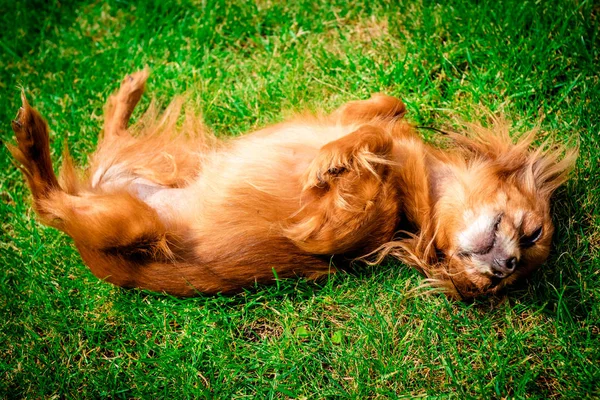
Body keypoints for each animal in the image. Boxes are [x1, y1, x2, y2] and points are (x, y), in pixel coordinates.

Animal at [7, 70, 576, 298]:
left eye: (499, 286)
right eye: (530, 234)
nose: (505, 267)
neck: (416, 200)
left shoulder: (323, 229)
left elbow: (371, 149)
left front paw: (336, 160)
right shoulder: (364, 120)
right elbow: (388, 108)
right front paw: (349, 144)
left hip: (130, 223)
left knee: (48, 203)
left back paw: (33, 138)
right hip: (159, 163)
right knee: (104, 142)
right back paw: (126, 92)